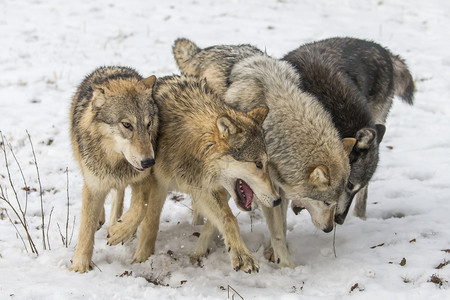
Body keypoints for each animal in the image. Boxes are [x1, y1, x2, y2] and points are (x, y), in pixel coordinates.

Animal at [67, 67, 157, 274]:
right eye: (127, 125)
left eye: (148, 124)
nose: (149, 161)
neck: (116, 163)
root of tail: (111, 67)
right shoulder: (94, 184)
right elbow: (86, 226)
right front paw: (79, 267)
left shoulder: (144, 178)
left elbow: (140, 208)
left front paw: (120, 232)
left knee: (119, 195)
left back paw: (115, 223)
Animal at [107, 75, 280, 274]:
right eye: (258, 164)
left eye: (267, 163)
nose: (277, 200)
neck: (192, 147)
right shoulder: (159, 184)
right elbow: (150, 221)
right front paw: (140, 259)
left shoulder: (203, 189)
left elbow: (228, 218)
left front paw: (241, 255)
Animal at [172, 38, 356, 268]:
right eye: (326, 203)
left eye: (335, 202)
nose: (330, 229)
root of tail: (200, 52)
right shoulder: (257, 186)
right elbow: (268, 229)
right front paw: (287, 267)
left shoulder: (278, 191)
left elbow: (281, 227)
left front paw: (276, 255)